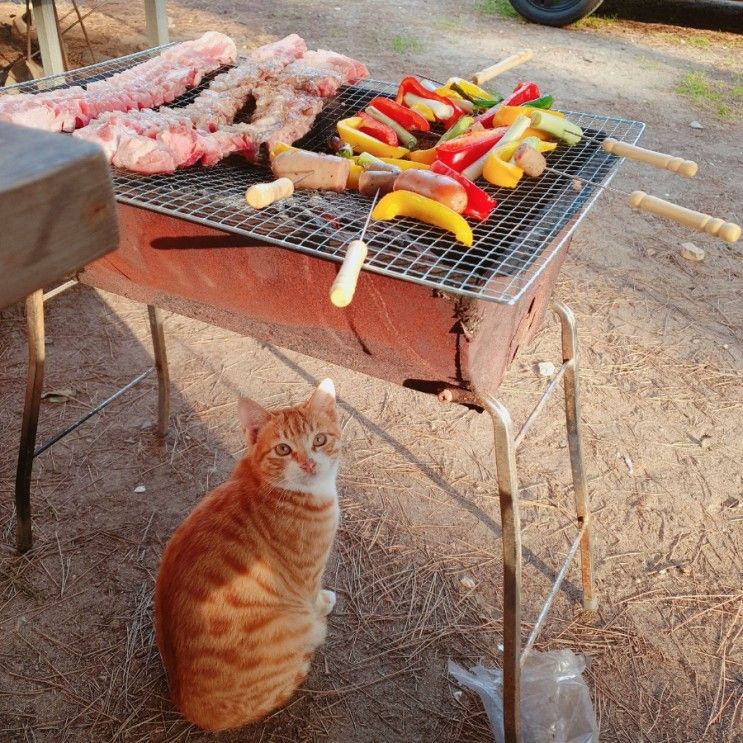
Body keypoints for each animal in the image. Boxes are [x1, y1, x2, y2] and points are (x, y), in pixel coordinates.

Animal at [157, 380, 342, 728]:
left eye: (319, 440)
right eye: (283, 449)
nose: (309, 464)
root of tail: (191, 711)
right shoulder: (307, 578)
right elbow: (314, 598)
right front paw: (324, 603)